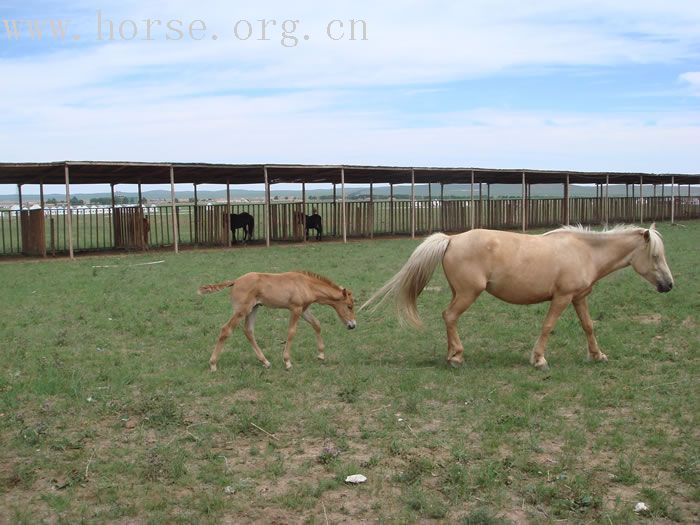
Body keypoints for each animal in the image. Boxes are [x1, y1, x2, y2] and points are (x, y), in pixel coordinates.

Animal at [200, 272, 358, 370]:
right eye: (349, 306)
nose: (353, 325)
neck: (306, 284)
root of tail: (236, 281)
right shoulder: (295, 309)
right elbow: (291, 332)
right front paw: (287, 362)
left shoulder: (304, 310)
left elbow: (317, 324)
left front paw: (321, 355)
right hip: (241, 311)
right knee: (226, 329)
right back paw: (213, 364)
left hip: (254, 308)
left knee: (249, 330)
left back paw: (265, 362)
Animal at [360, 224, 672, 368]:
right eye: (655, 256)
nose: (668, 285)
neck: (584, 252)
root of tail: (451, 239)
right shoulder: (561, 298)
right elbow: (548, 326)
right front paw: (539, 359)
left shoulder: (578, 298)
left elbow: (588, 326)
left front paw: (597, 355)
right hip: (468, 294)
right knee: (449, 316)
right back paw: (457, 357)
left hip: (459, 292)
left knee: (448, 318)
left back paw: (451, 353)